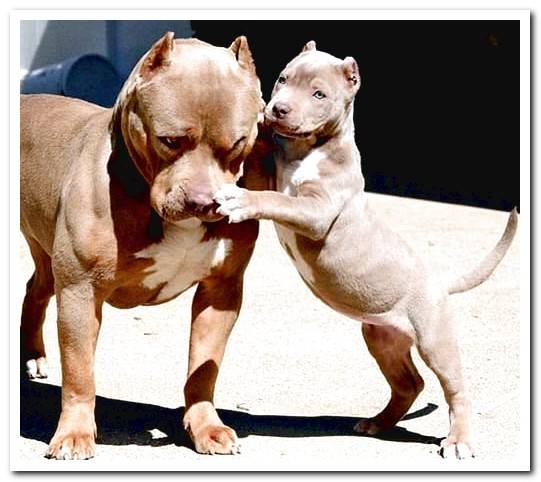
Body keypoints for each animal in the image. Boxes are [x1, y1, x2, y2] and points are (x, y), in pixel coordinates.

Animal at [20, 34, 264, 460]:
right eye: (170, 141)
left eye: (236, 145)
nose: (203, 202)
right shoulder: (80, 292)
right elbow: (80, 374)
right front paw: (74, 433)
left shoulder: (221, 291)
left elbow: (204, 367)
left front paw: (205, 425)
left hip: (48, 256)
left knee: (36, 288)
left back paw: (33, 356)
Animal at [213, 42, 516, 460]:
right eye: (283, 80)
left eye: (319, 94)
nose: (278, 109)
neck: (307, 151)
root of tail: (439, 282)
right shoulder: (270, 175)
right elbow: (264, 175)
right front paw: (259, 128)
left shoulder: (317, 209)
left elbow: (275, 199)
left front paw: (240, 199)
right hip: (382, 338)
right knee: (410, 384)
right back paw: (377, 422)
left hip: (434, 339)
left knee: (456, 389)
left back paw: (458, 441)